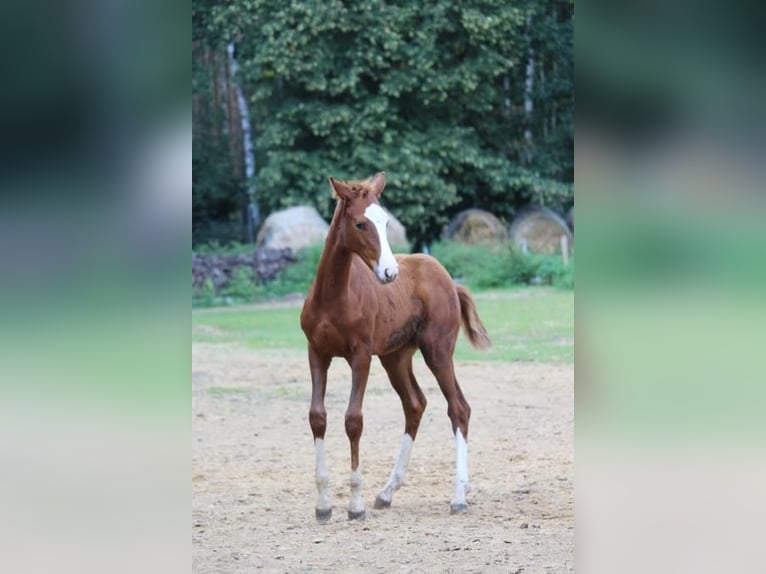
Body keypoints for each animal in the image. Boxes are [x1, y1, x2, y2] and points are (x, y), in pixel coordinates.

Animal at [300, 171, 491, 522]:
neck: (334, 296)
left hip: (437, 351)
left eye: (386, 222)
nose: (390, 273)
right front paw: (323, 505)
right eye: (360, 223)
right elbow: (317, 416)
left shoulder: (360, 356)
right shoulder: (316, 353)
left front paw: (355, 505)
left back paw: (458, 495)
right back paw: (387, 492)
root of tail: (449, 279)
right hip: (396, 357)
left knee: (458, 408)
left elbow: (353, 420)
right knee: (415, 405)